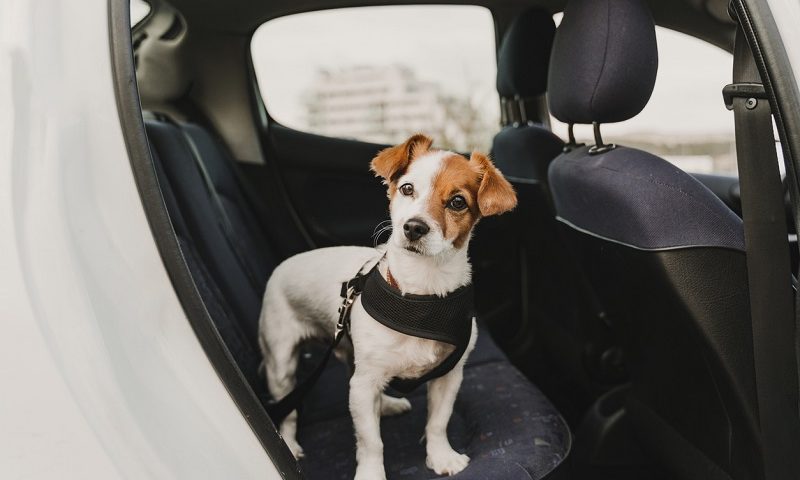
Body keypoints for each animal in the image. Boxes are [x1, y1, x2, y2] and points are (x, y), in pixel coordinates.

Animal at [260, 134, 516, 480]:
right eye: (407, 189)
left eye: (457, 202)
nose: (414, 227)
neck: (420, 295)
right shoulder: (364, 384)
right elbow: (371, 442)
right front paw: (371, 473)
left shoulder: (449, 376)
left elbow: (438, 422)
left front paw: (441, 456)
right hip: (282, 364)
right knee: (287, 411)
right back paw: (288, 444)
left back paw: (388, 405)